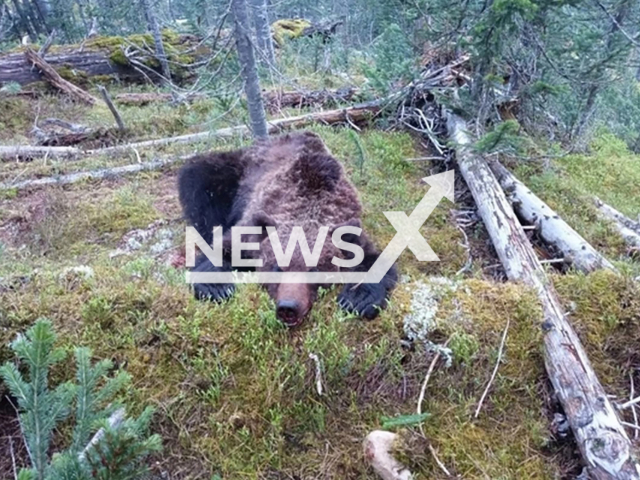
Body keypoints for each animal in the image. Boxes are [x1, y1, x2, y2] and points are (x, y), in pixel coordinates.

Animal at [179, 130, 396, 326]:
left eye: (314, 270)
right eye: (277, 266)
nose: (288, 307)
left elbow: (373, 260)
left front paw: (358, 299)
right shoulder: (252, 228)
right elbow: (221, 248)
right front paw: (216, 286)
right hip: (235, 171)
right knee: (199, 178)